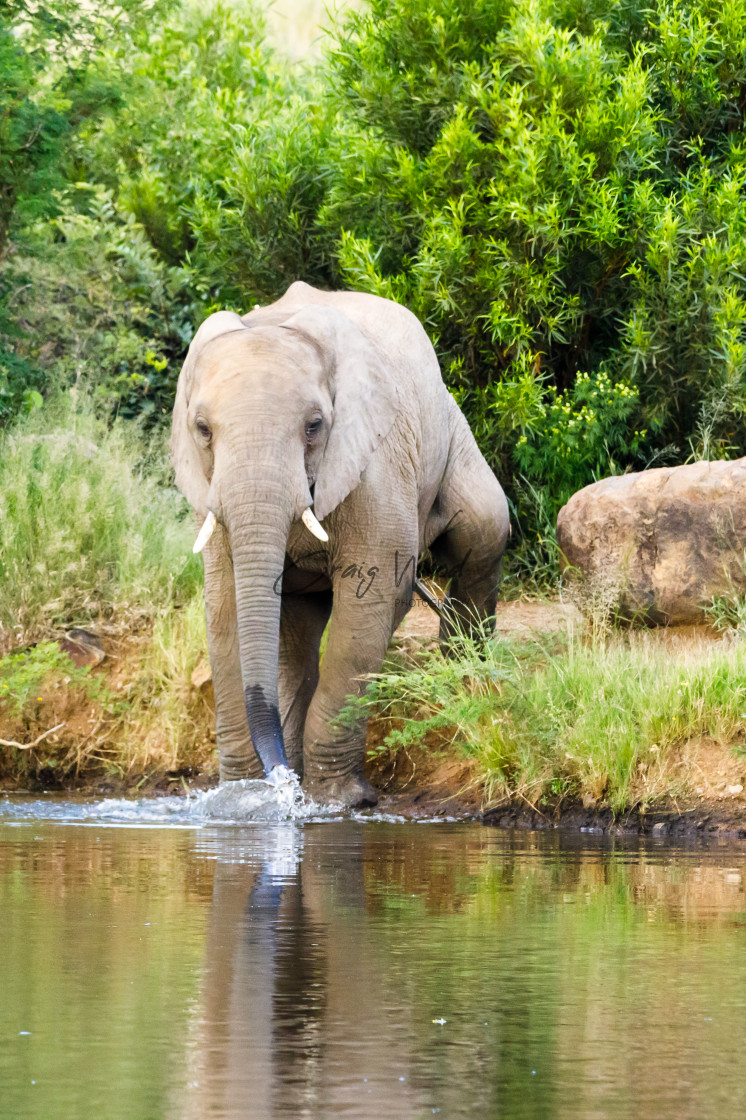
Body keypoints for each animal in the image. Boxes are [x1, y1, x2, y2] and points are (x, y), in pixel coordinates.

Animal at [170, 280, 508, 806]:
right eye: (202, 429)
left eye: (314, 426)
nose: (280, 784)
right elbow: (225, 610)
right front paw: (242, 799)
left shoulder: (377, 461)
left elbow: (369, 601)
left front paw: (339, 802)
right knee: (297, 629)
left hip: (450, 428)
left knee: (485, 530)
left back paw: (461, 686)